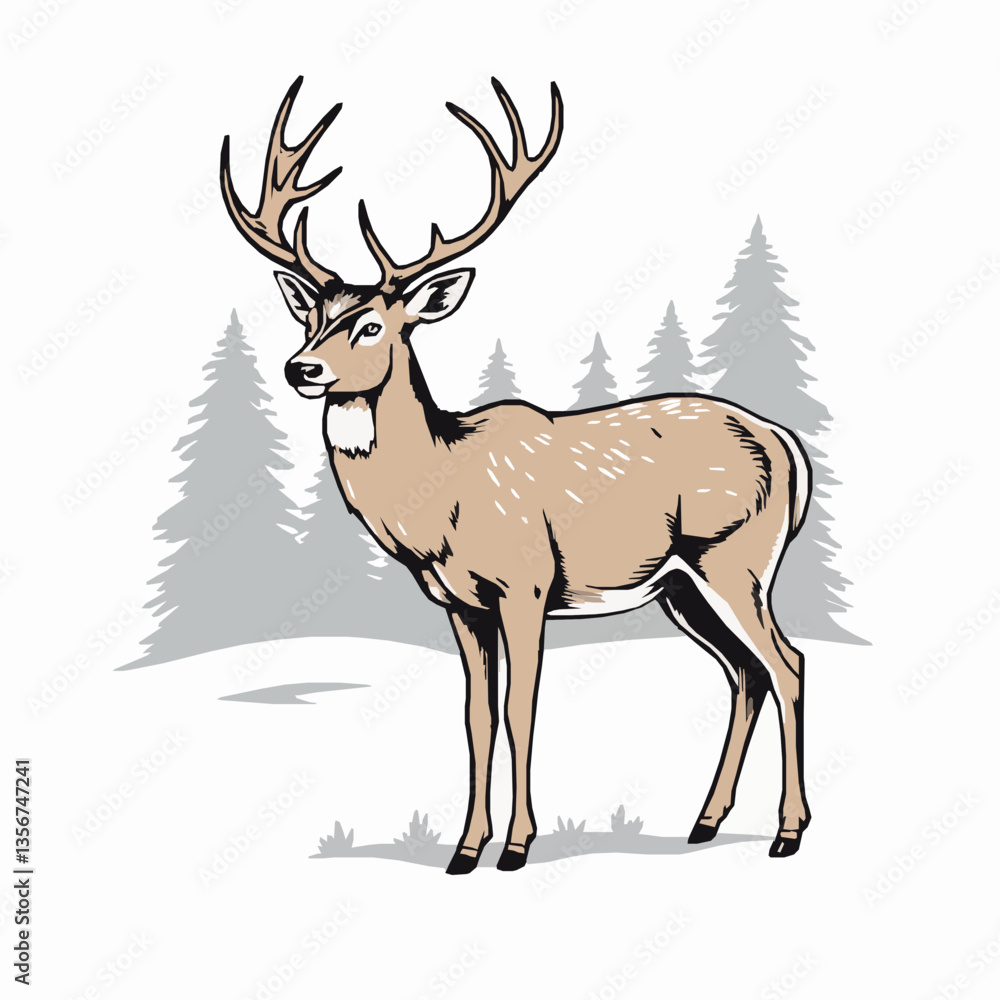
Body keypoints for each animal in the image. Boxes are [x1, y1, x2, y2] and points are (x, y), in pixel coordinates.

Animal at [221, 77, 813, 874]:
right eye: (309, 317)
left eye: (374, 326)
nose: (300, 368)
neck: (441, 496)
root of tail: (787, 444)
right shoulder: (459, 603)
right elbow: (475, 714)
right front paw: (464, 849)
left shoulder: (527, 584)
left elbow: (518, 709)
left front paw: (516, 846)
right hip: (682, 586)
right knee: (744, 672)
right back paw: (704, 822)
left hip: (737, 555)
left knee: (787, 663)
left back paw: (787, 833)